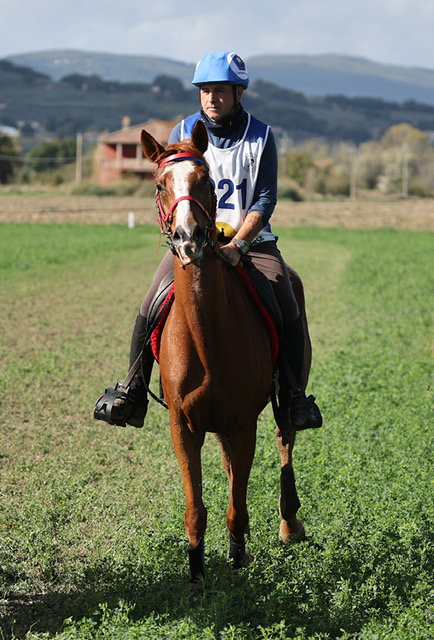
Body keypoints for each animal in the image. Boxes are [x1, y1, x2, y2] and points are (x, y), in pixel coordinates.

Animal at [141, 121, 304, 584]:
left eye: (208, 181)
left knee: (286, 438)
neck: (206, 337)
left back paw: (291, 524)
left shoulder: (244, 424)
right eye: (159, 184)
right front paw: (197, 575)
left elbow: (237, 508)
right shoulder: (184, 427)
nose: (189, 238)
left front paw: (236, 563)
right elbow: (196, 510)